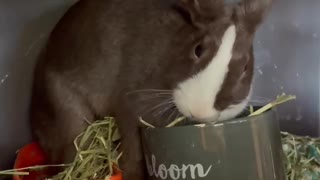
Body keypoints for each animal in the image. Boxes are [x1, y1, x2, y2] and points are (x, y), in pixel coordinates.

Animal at [29, 0, 272, 179]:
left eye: (245, 66)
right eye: (198, 49)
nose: (201, 111)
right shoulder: (130, 108)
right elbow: (133, 154)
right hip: (69, 114)